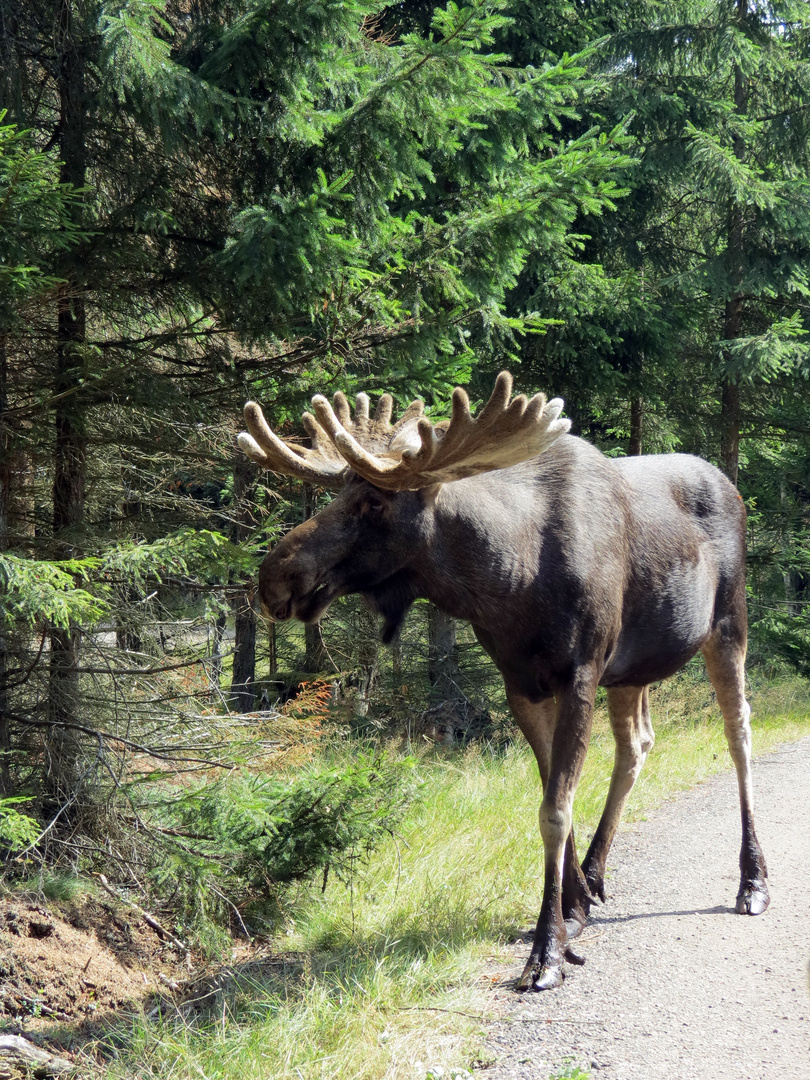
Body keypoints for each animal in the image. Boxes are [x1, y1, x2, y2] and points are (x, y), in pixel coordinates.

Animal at [237, 375, 768, 989]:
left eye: (374, 500)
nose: (272, 576)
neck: (507, 582)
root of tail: (733, 489)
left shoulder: (580, 671)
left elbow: (555, 810)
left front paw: (548, 949)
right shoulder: (522, 682)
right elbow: (551, 793)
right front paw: (573, 909)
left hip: (727, 623)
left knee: (739, 733)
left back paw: (753, 881)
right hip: (631, 668)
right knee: (636, 744)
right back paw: (596, 873)